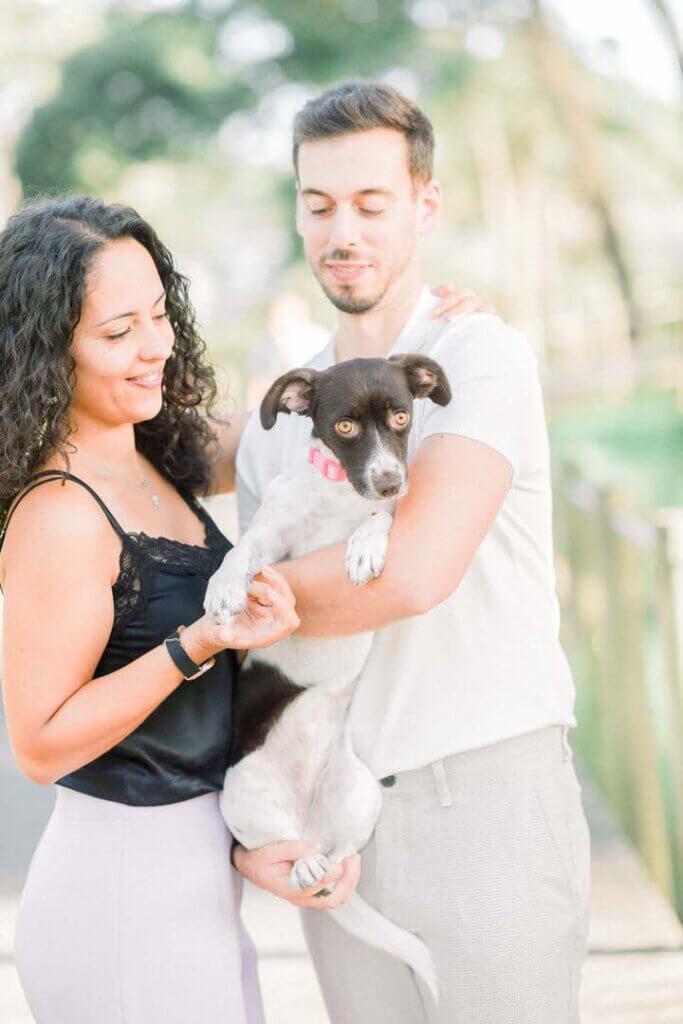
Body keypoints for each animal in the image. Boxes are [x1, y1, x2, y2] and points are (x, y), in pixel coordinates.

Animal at [205, 354, 450, 999]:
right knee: (281, 847)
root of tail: (307, 821)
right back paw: (301, 864)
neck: (340, 492)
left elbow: (381, 521)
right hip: (241, 796)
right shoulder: (272, 540)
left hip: (360, 792)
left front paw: (365, 544)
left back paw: (323, 863)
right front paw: (224, 587)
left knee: (342, 859)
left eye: (401, 415)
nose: (390, 480)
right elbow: (242, 553)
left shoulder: (390, 511)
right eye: (344, 426)